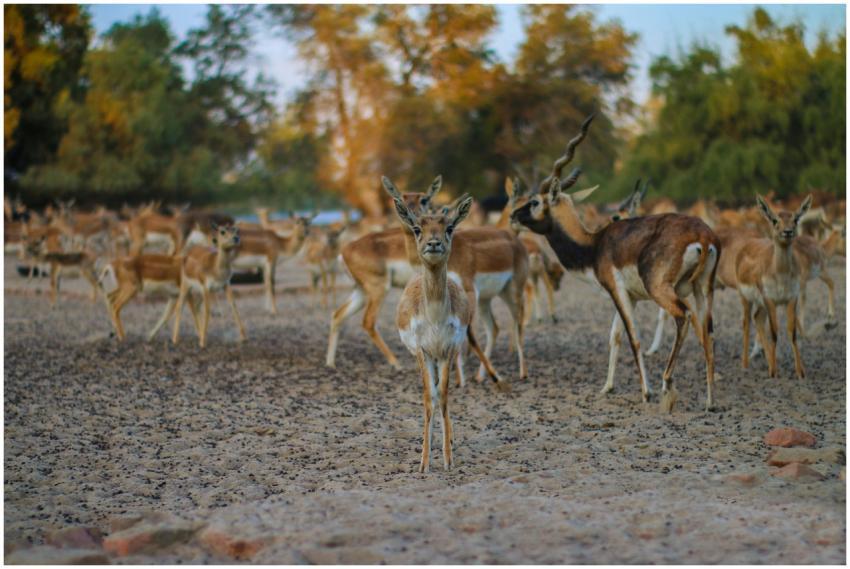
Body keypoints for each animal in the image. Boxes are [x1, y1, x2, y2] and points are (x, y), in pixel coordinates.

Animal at [392, 193, 506, 472]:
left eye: (450, 227)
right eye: (417, 228)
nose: (433, 243)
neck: (434, 318)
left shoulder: (447, 350)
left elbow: (443, 396)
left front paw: (447, 458)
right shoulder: (423, 351)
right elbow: (428, 398)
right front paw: (424, 463)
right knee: (432, 392)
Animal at [511, 115, 720, 411]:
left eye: (534, 202)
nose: (513, 216)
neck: (594, 244)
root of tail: (703, 234)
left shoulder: (616, 290)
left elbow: (633, 337)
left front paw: (646, 392)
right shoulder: (630, 296)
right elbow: (615, 336)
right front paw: (607, 387)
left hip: (662, 290)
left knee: (683, 317)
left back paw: (667, 384)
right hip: (704, 289)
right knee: (708, 333)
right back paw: (710, 401)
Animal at [735, 195, 811, 378]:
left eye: (795, 219)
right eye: (775, 220)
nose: (788, 231)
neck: (780, 274)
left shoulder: (791, 298)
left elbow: (792, 332)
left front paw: (800, 372)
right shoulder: (770, 299)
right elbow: (775, 333)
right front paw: (773, 372)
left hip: (761, 303)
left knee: (757, 318)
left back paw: (768, 361)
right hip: (746, 298)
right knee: (747, 323)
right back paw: (745, 364)